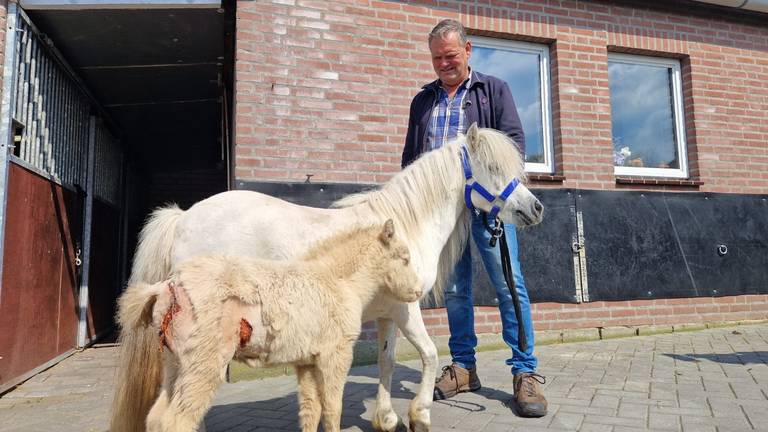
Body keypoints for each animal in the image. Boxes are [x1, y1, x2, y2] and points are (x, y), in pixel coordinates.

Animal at [115, 221, 420, 430]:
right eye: (404, 258)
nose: (417, 292)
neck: (337, 280)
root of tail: (169, 286)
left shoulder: (307, 361)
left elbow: (311, 410)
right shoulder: (337, 355)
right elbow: (333, 409)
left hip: (174, 363)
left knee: (156, 417)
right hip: (204, 363)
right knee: (176, 421)